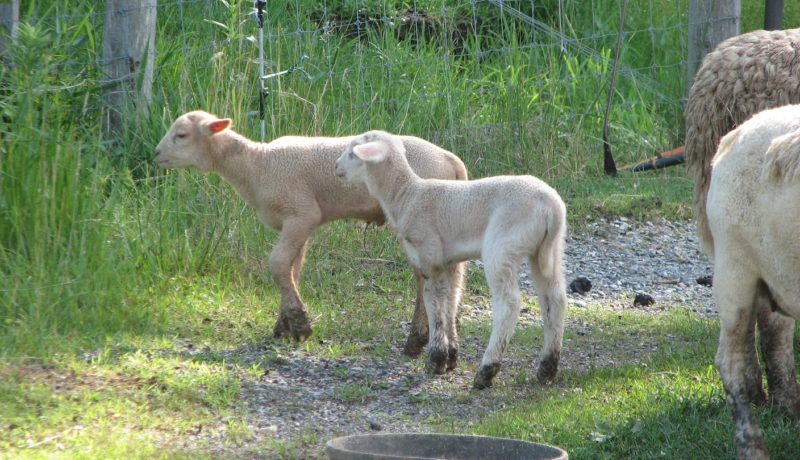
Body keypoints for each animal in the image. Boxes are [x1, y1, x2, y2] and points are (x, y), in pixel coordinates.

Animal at [152, 111, 466, 356]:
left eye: (181, 135)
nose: (155, 154)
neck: (256, 166)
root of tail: (451, 159)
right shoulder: (296, 223)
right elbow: (293, 269)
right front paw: (284, 326)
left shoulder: (301, 214)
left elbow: (277, 263)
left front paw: (300, 324)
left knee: (424, 279)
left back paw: (416, 340)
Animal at [332, 129, 568, 388]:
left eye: (353, 152)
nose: (336, 167)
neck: (406, 195)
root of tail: (551, 207)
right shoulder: (451, 262)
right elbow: (451, 301)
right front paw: (451, 356)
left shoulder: (429, 256)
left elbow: (433, 303)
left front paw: (436, 359)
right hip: (549, 249)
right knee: (555, 298)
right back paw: (547, 368)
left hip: (504, 243)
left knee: (509, 303)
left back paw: (487, 370)